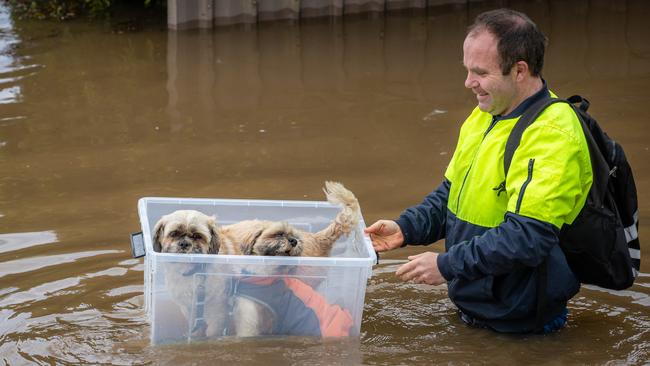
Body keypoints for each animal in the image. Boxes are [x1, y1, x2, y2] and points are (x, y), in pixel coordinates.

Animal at [153, 182, 360, 338]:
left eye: (198, 236)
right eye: (174, 234)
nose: (184, 243)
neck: (193, 270)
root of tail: (316, 238)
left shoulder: (217, 309)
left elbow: (214, 330)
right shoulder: (188, 307)